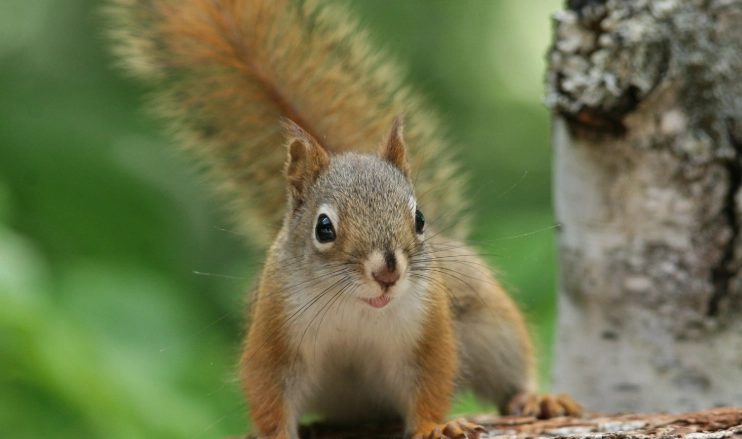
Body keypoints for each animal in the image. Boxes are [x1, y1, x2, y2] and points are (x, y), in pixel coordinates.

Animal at [107, 0, 582, 438]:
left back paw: (536, 399)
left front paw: (434, 426)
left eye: (420, 219)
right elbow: (269, 390)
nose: (388, 273)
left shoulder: (428, 330)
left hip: (491, 327)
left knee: (508, 378)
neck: (356, 309)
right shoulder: (274, 333)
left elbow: (430, 383)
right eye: (324, 228)